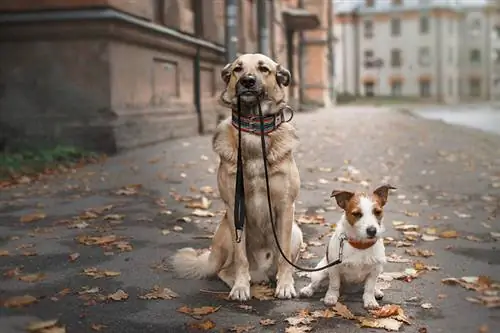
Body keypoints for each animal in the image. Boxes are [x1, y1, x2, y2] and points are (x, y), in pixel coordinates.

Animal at [172, 53, 304, 300]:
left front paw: (285, 284)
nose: (248, 81)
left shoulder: (285, 207)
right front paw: (241, 287)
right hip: (225, 229)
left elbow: (284, 258)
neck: (254, 130)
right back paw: (241, 281)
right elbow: (241, 258)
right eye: (237, 69)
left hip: (295, 231)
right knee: (225, 269)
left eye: (264, 69)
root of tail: (261, 271)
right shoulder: (235, 208)